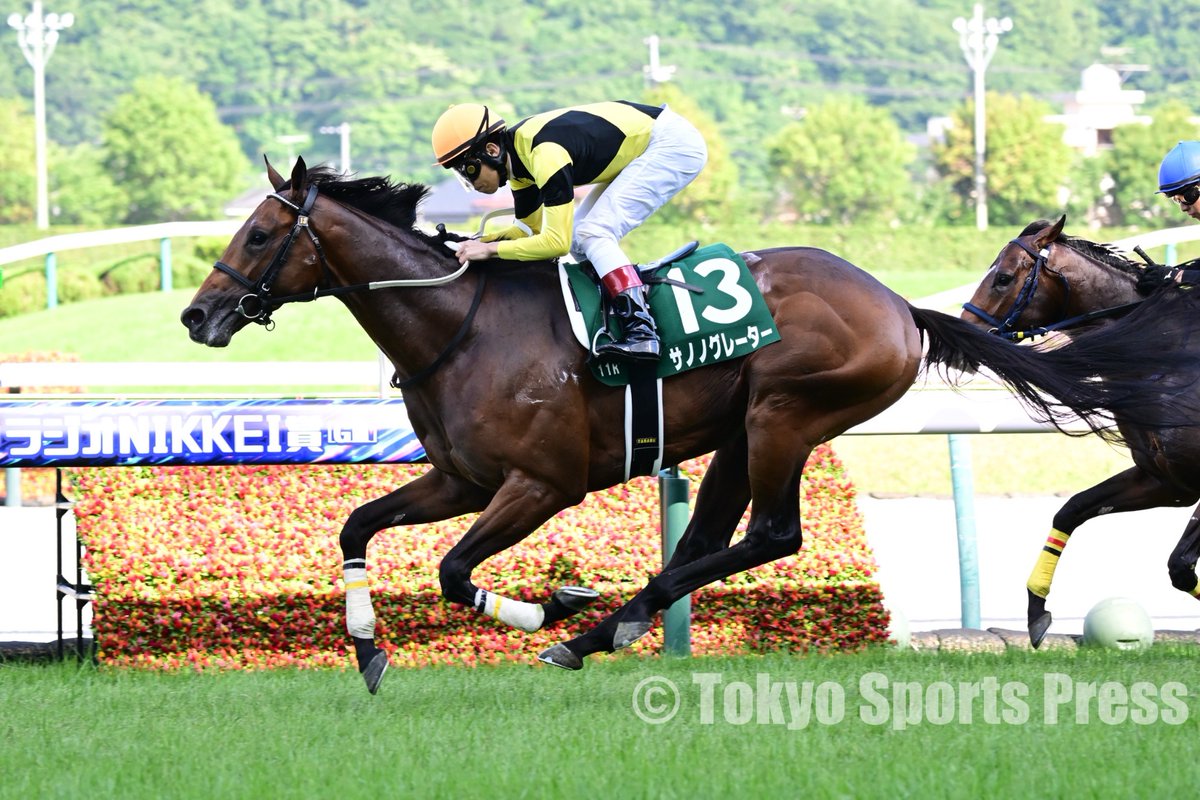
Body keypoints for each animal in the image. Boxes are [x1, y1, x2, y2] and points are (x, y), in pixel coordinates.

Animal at [961, 215, 1200, 647]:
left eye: (1003, 278)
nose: (965, 330)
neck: (1170, 359)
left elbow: (1180, 566)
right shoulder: (1166, 481)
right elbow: (1072, 509)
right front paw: (1036, 612)